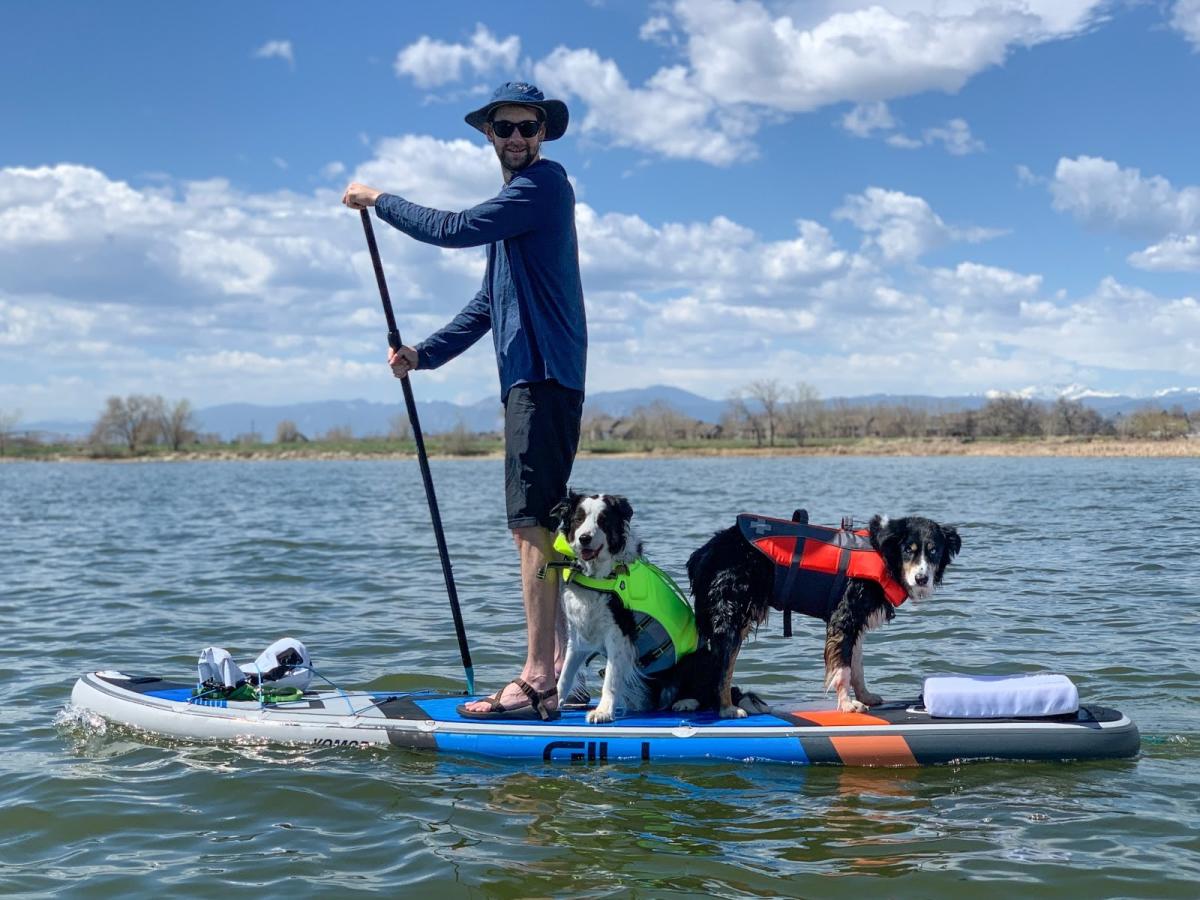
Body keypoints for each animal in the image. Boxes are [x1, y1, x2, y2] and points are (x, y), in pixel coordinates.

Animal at [681, 513, 960, 720]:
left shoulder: (856, 621)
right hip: (731, 615)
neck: (883, 555)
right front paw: (847, 704)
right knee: (722, 667)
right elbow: (843, 669)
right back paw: (727, 707)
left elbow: (857, 665)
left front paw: (865, 696)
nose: (921, 578)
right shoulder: (844, 617)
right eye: (907, 550)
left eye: (933, 551)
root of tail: (705, 552)